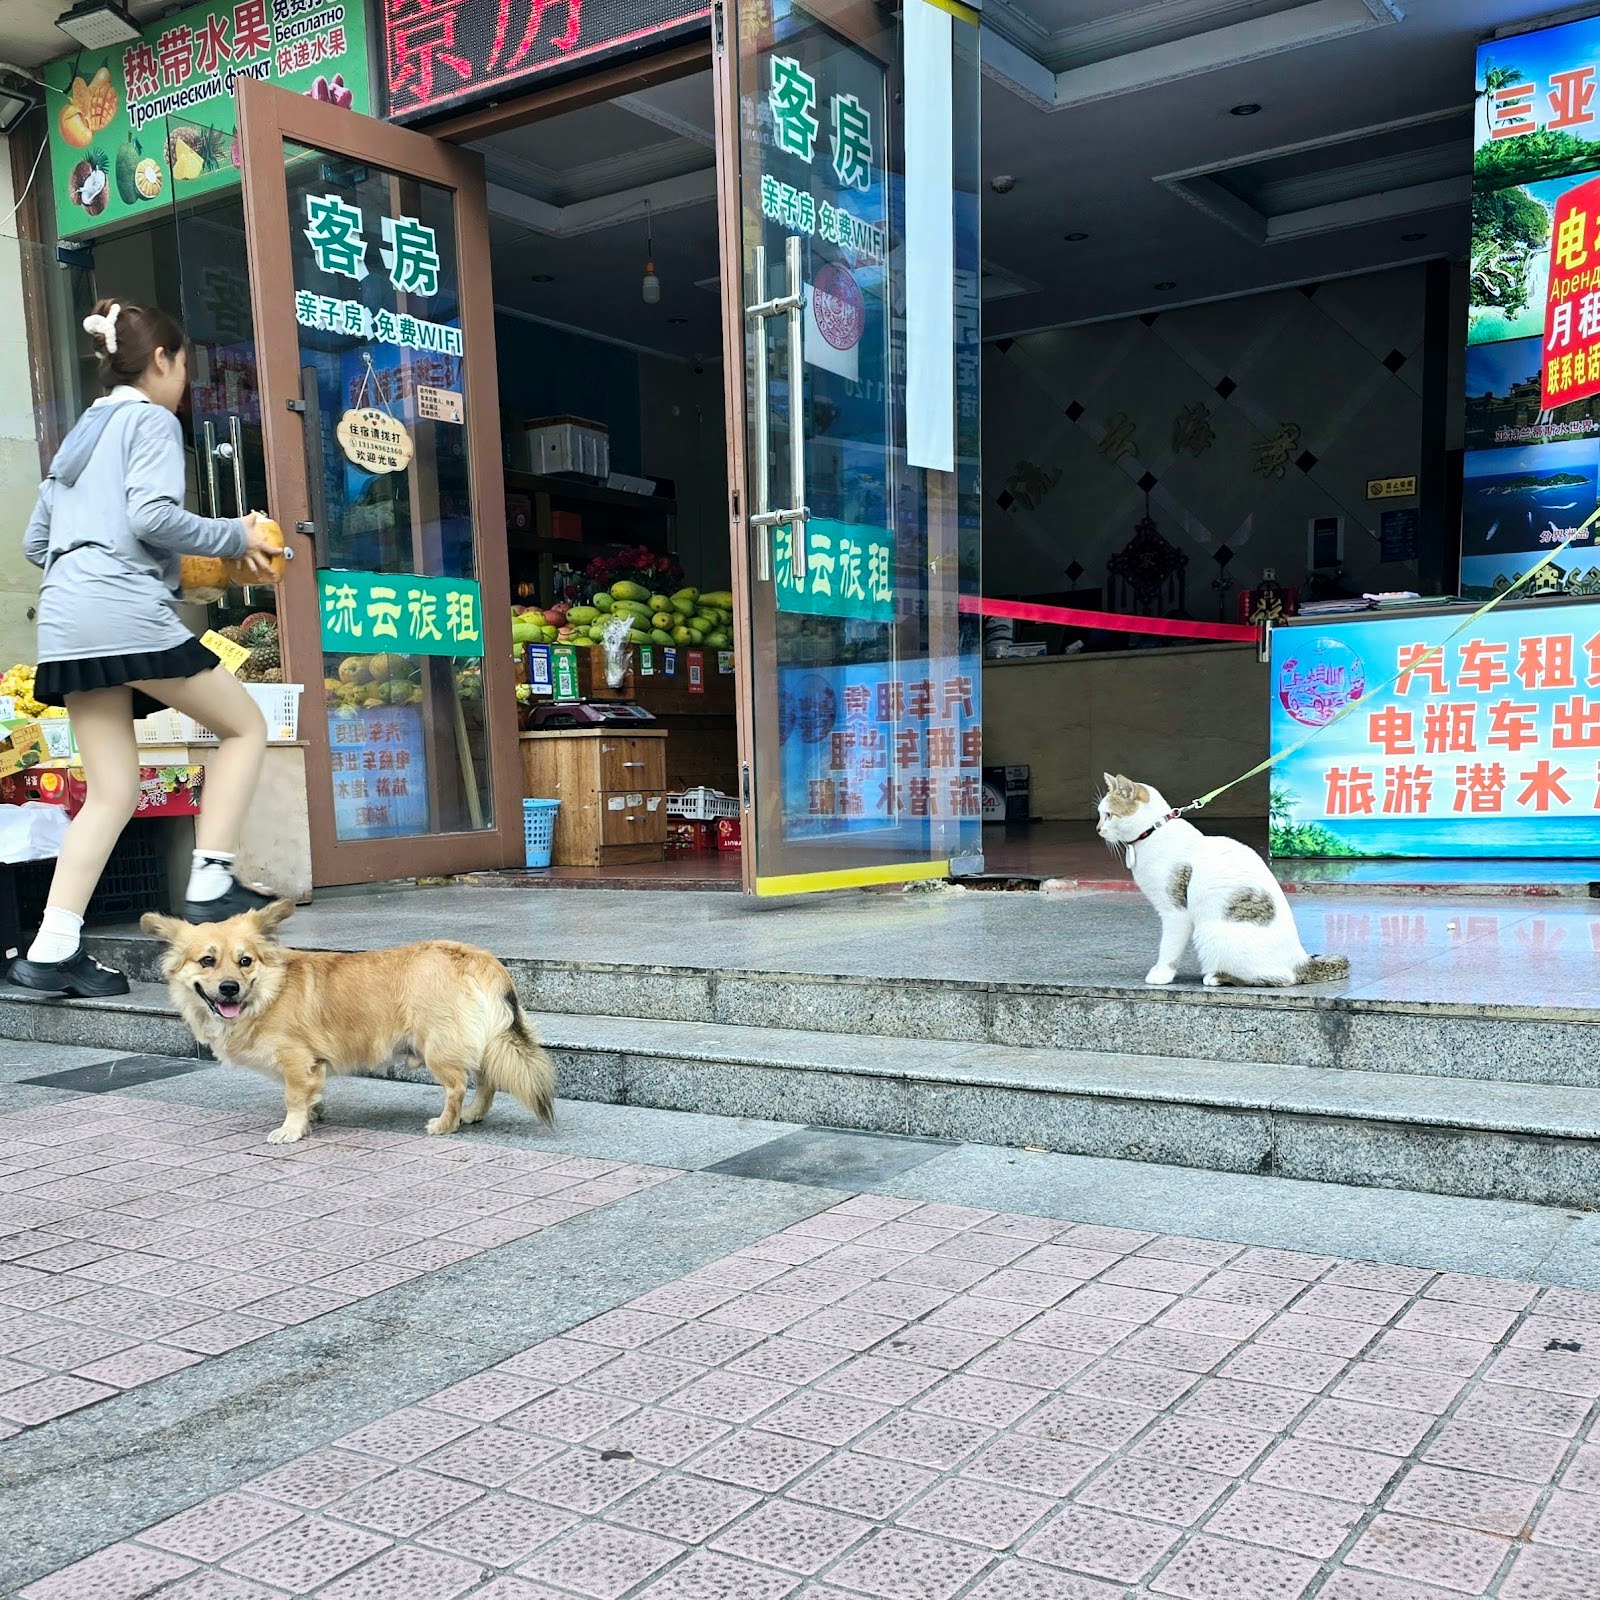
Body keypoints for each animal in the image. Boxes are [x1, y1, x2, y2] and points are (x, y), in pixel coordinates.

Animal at [144, 902, 556, 1152]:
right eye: (207, 961)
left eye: (245, 961)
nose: (230, 988)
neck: (268, 992)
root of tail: (479, 958)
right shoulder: (310, 1068)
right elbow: (311, 1096)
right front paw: (313, 1116)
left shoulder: (296, 1061)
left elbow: (293, 1098)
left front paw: (292, 1129)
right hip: (482, 1041)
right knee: (487, 1080)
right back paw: (473, 1114)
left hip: (437, 1048)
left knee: (457, 1086)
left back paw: (446, 1124)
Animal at [1094, 774, 1344, 985]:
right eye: (1100, 814)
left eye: (1109, 815)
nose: (1097, 829)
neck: (1153, 832)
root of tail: (1301, 959)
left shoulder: (1175, 912)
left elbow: (1168, 948)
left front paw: (1162, 973)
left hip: (1208, 933)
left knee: (1280, 979)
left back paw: (1216, 976)